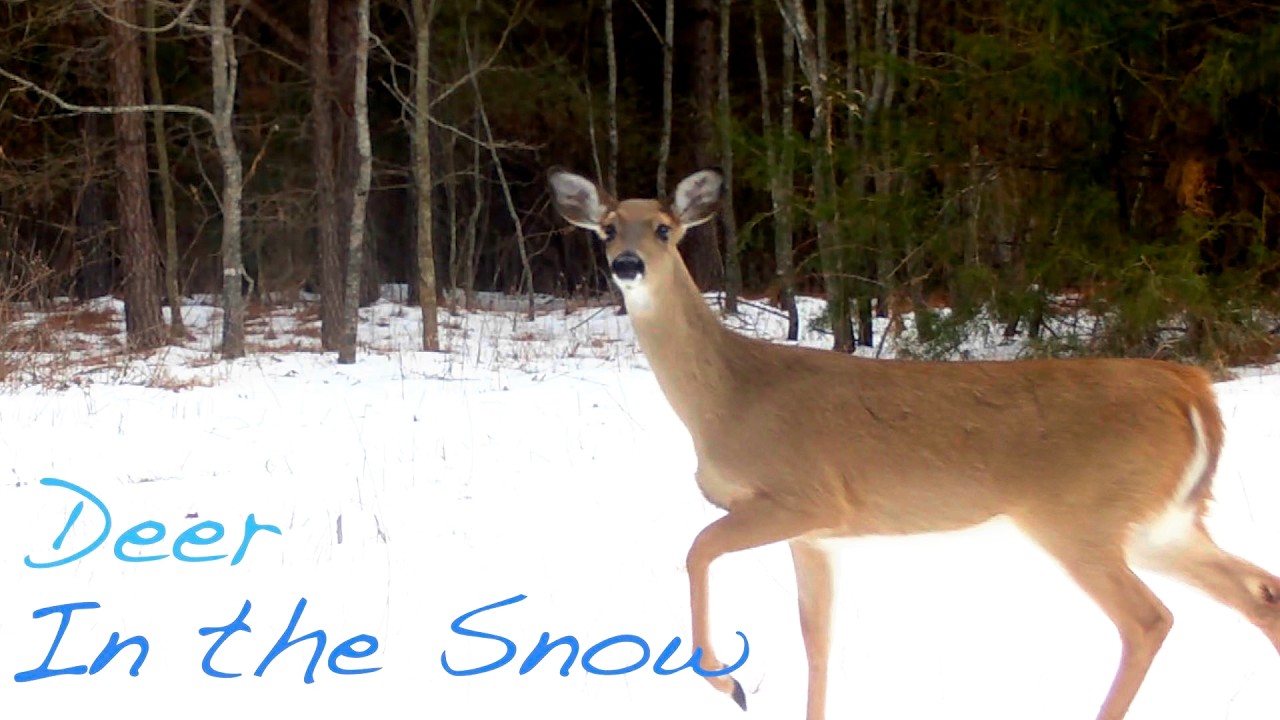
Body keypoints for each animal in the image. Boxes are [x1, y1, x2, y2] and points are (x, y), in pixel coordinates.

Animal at [546, 165, 1280, 720]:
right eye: (607, 228)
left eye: (664, 228)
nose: (627, 263)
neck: (730, 396)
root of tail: (1192, 389)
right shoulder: (816, 536)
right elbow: (818, 640)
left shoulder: (804, 497)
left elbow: (697, 550)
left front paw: (730, 685)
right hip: (1162, 521)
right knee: (1260, 591)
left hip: (1080, 515)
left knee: (1147, 621)